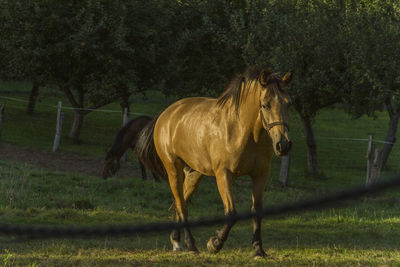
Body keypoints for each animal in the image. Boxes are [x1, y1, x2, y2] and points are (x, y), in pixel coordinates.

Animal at [136, 66, 292, 260]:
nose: (283, 145)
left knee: (180, 203)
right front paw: (214, 244)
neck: (243, 132)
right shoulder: (223, 175)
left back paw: (176, 241)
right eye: (265, 105)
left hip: (194, 174)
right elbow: (231, 213)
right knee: (182, 206)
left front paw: (258, 250)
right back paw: (191, 245)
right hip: (174, 170)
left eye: (288, 104)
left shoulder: (260, 175)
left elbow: (257, 212)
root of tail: (166, 114)